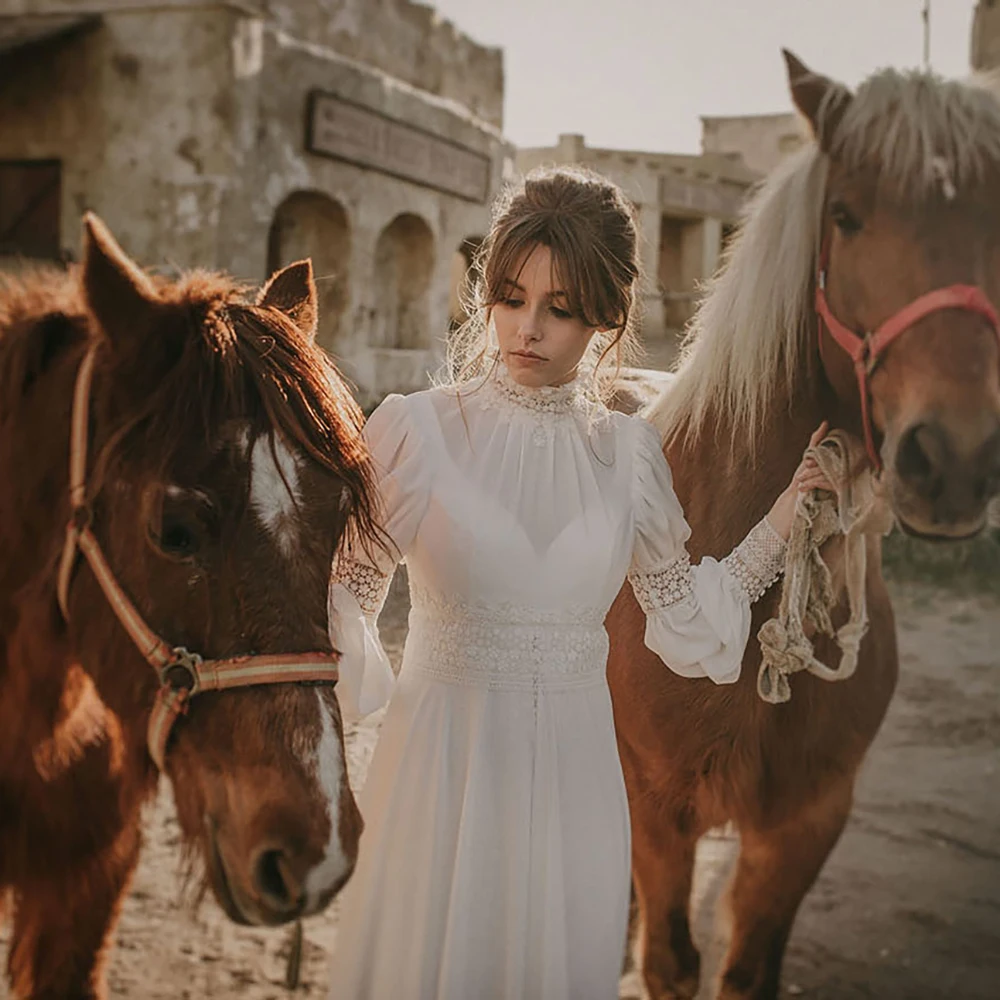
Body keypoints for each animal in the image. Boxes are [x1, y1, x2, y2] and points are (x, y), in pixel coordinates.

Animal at [604, 54, 1000, 1000]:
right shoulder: (658, 810)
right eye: (845, 214)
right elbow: (670, 963)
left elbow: (748, 971)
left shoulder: (806, 824)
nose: (956, 457)